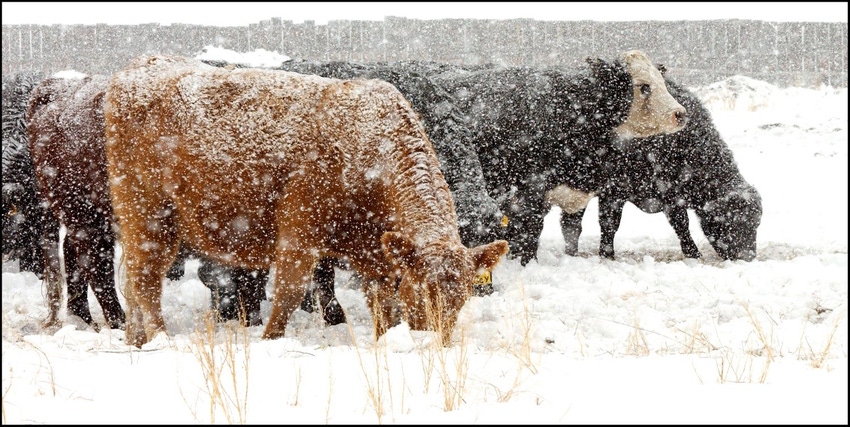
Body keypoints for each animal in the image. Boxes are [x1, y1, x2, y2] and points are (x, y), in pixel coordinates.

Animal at [102, 54, 506, 348]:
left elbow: (383, 306)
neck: (368, 145)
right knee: (145, 283)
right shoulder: (299, 232)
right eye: (420, 292)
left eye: (462, 298)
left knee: (134, 284)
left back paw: (136, 341)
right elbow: (289, 294)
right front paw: (270, 341)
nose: (433, 345)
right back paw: (160, 339)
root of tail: (147, 63)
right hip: (149, 217)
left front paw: (386, 342)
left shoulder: (376, 255)